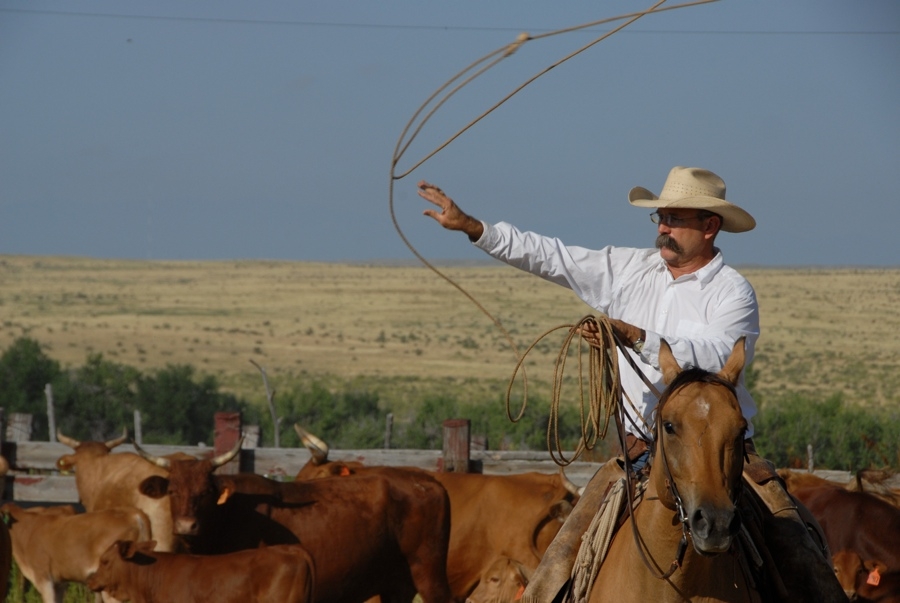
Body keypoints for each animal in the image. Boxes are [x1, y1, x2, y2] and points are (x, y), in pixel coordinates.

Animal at [134, 442, 454, 603]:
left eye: (205, 492)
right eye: (173, 491)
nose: (186, 526)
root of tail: (426, 481)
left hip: (428, 571)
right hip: (396, 585)